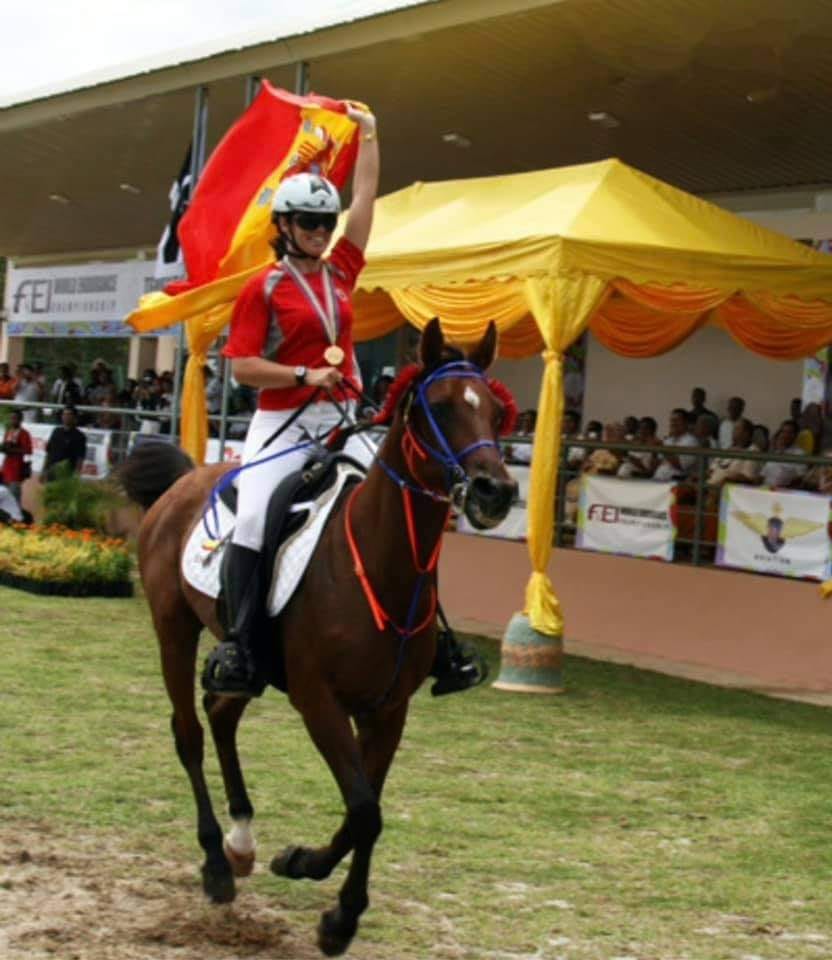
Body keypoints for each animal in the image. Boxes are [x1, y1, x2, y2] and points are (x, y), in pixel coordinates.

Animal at [120, 318, 516, 956]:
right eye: (439, 406)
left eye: (495, 411)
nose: (493, 492)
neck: (377, 563)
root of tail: (185, 481)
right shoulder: (319, 702)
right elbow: (364, 810)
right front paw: (333, 908)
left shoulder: (388, 710)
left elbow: (366, 811)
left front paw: (318, 884)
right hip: (172, 629)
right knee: (190, 732)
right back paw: (216, 864)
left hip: (251, 663)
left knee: (221, 714)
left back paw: (242, 842)